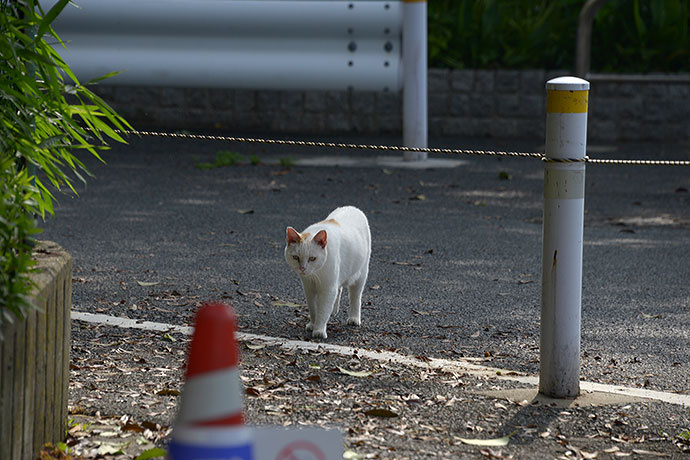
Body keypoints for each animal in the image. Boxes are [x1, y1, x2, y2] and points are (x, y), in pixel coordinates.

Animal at [284, 207, 370, 340]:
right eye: (296, 257)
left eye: (312, 258)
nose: (303, 268)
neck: (315, 275)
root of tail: (353, 207)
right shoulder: (309, 288)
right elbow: (313, 309)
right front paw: (313, 324)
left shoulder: (327, 288)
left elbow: (323, 311)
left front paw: (319, 330)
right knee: (339, 289)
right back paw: (334, 310)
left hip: (360, 275)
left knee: (355, 297)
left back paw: (354, 318)